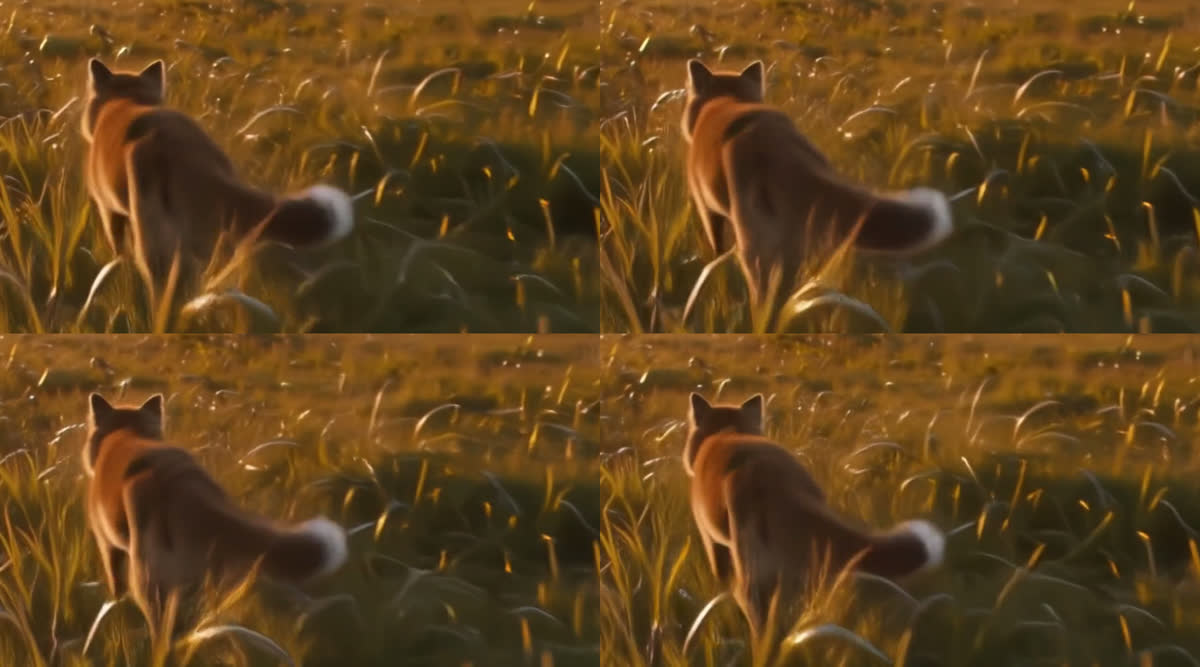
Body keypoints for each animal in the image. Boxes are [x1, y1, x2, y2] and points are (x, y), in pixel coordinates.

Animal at [81, 58, 355, 303]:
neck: (125, 102)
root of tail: (185, 147)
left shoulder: (109, 210)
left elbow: (117, 251)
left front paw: (116, 269)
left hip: (154, 238)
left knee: (164, 282)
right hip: (211, 233)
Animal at [83, 392, 348, 638]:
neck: (126, 434)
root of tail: (182, 478)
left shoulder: (107, 544)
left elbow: (116, 587)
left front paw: (114, 606)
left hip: (148, 580)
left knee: (164, 628)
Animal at [681, 59, 954, 321]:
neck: (725, 102)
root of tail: (779, 143)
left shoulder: (706, 209)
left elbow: (716, 250)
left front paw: (715, 271)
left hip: (755, 246)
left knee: (765, 295)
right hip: (807, 239)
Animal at [683, 392, 945, 645]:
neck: (727, 432)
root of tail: (778, 477)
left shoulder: (711, 539)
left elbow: (719, 577)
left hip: (752, 570)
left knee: (757, 613)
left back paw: (762, 646)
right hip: (808, 562)